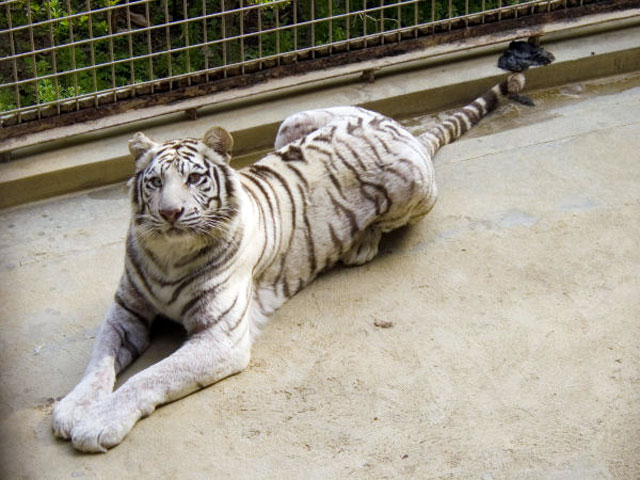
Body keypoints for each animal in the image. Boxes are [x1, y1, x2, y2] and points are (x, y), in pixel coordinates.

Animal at [53, 73, 524, 452]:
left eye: (194, 178)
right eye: (154, 182)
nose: (170, 213)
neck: (170, 254)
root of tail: (405, 130)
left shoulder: (221, 337)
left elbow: (148, 377)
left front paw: (97, 424)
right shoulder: (126, 310)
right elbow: (99, 361)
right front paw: (72, 408)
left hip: (415, 188)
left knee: (386, 223)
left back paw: (360, 246)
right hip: (293, 122)